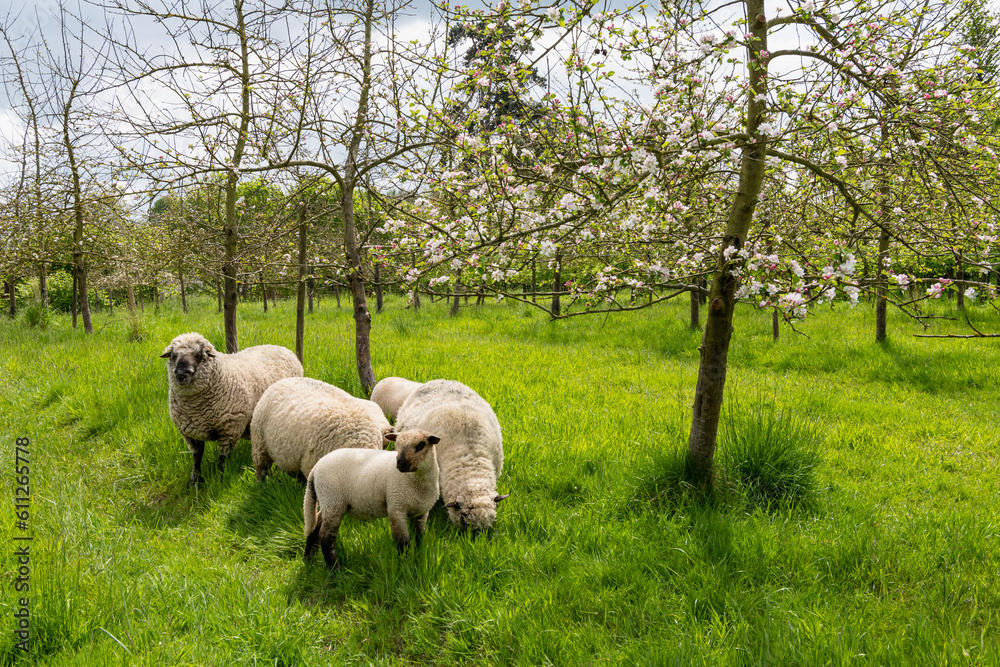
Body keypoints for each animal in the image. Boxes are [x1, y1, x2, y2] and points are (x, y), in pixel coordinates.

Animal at [161, 332, 303, 486]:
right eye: (174, 356)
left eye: (199, 355)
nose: (181, 375)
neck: (195, 408)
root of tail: (281, 348)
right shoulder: (190, 433)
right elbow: (197, 457)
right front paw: (195, 482)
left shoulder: (229, 429)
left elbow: (223, 459)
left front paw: (221, 481)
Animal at [303, 430, 440, 570]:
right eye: (397, 445)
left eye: (420, 445)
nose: (400, 463)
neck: (416, 483)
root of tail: (316, 468)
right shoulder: (396, 507)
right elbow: (403, 542)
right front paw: (404, 565)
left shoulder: (422, 512)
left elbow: (419, 537)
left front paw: (418, 557)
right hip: (333, 499)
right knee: (326, 536)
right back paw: (335, 570)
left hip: (328, 502)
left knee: (315, 529)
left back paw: (309, 562)